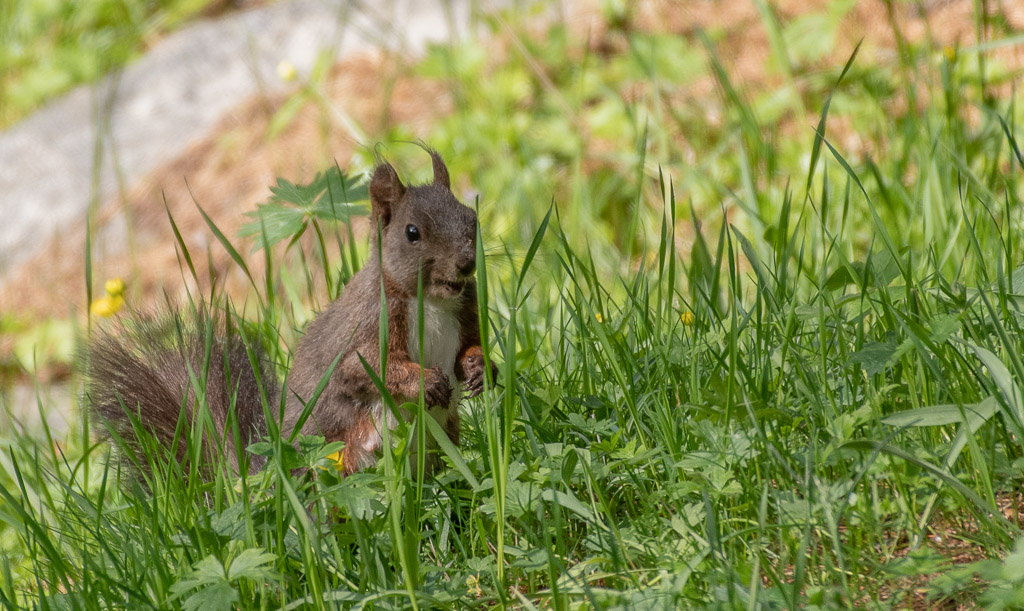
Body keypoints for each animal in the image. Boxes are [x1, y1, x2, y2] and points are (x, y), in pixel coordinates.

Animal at [83, 147, 491, 476]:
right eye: (412, 232)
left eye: (471, 217)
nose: (466, 264)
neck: (432, 302)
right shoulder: (369, 326)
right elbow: (364, 369)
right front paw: (425, 381)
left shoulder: (464, 310)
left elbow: (467, 347)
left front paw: (480, 367)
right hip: (345, 453)